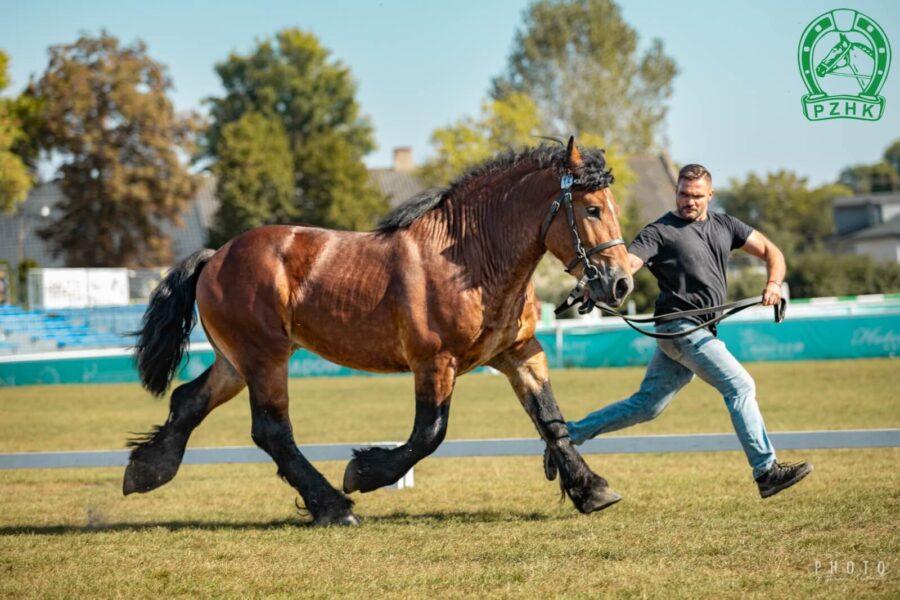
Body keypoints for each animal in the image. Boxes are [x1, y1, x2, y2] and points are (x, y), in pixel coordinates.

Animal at [125, 138, 632, 524]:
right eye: (591, 209)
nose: (620, 282)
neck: (469, 259)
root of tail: (216, 256)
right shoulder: (434, 362)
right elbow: (429, 434)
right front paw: (364, 471)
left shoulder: (520, 352)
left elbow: (551, 419)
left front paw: (591, 489)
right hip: (265, 358)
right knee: (272, 430)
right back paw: (332, 505)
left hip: (235, 362)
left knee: (188, 400)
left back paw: (147, 470)